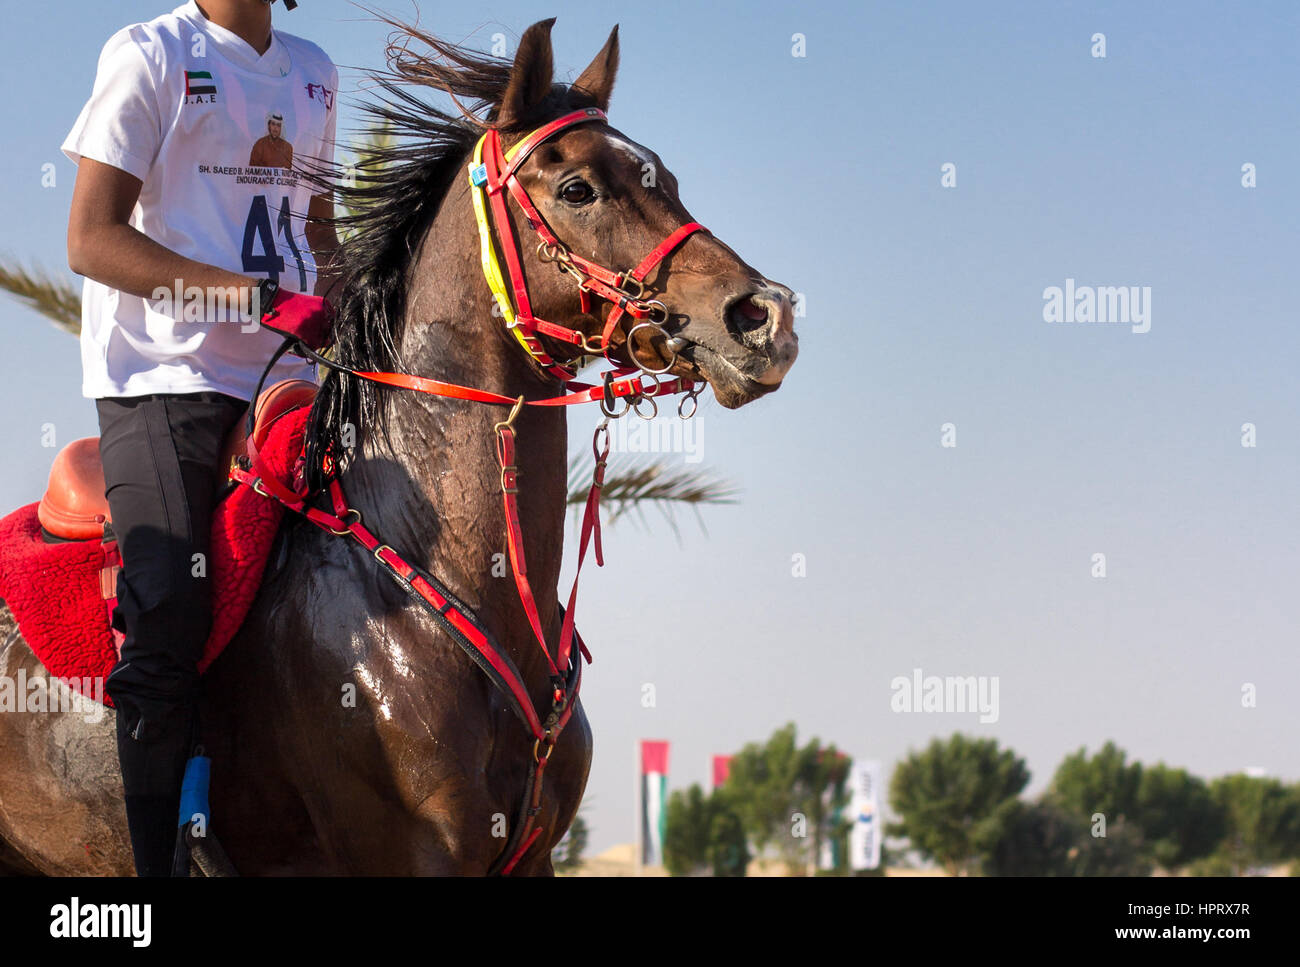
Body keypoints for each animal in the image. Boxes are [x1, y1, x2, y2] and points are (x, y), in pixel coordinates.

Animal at [0, 17, 798, 875]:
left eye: (667, 177)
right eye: (579, 188)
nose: (765, 317)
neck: (435, 565)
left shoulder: (533, 854)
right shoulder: (412, 852)